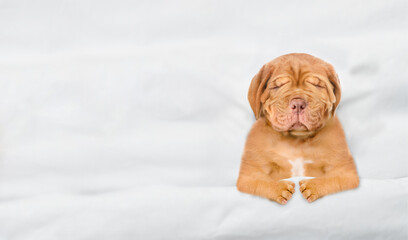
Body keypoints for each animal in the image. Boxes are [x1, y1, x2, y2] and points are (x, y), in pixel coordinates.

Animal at [237, 53, 358, 204]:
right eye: (278, 86)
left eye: (317, 84)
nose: (298, 103)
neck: (296, 140)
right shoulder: (250, 173)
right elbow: (260, 182)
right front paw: (279, 188)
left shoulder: (345, 171)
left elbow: (333, 179)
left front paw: (313, 186)